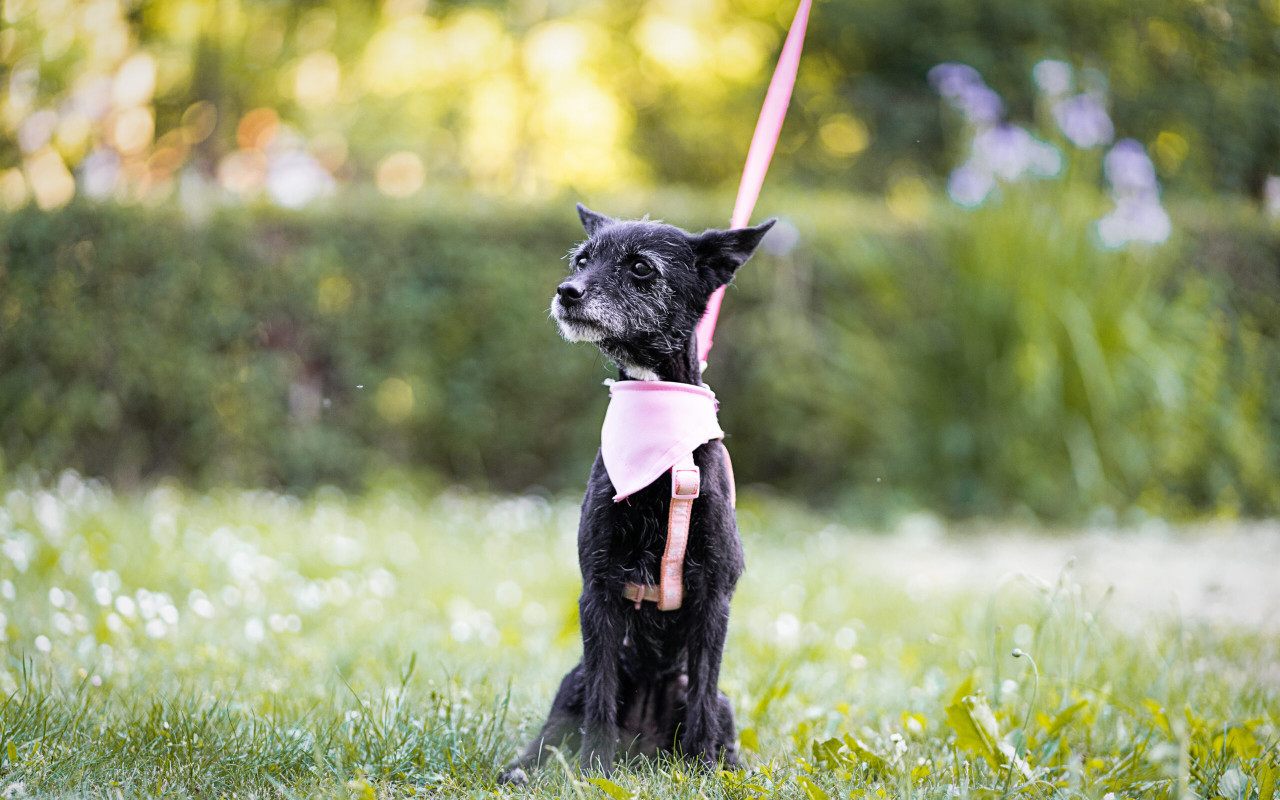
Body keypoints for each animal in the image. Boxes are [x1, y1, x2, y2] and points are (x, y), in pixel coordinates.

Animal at [501, 202, 773, 783]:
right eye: (582, 260)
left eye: (641, 268)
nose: (567, 291)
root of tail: (644, 750)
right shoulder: (598, 592)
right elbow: (601, 697)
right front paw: (593, 770)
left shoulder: (715, 596)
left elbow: (703, 696)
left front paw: (702, 771)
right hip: (572, 681)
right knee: (558, 725)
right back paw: (523, 769)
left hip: (720, 702)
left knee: (711, 708)